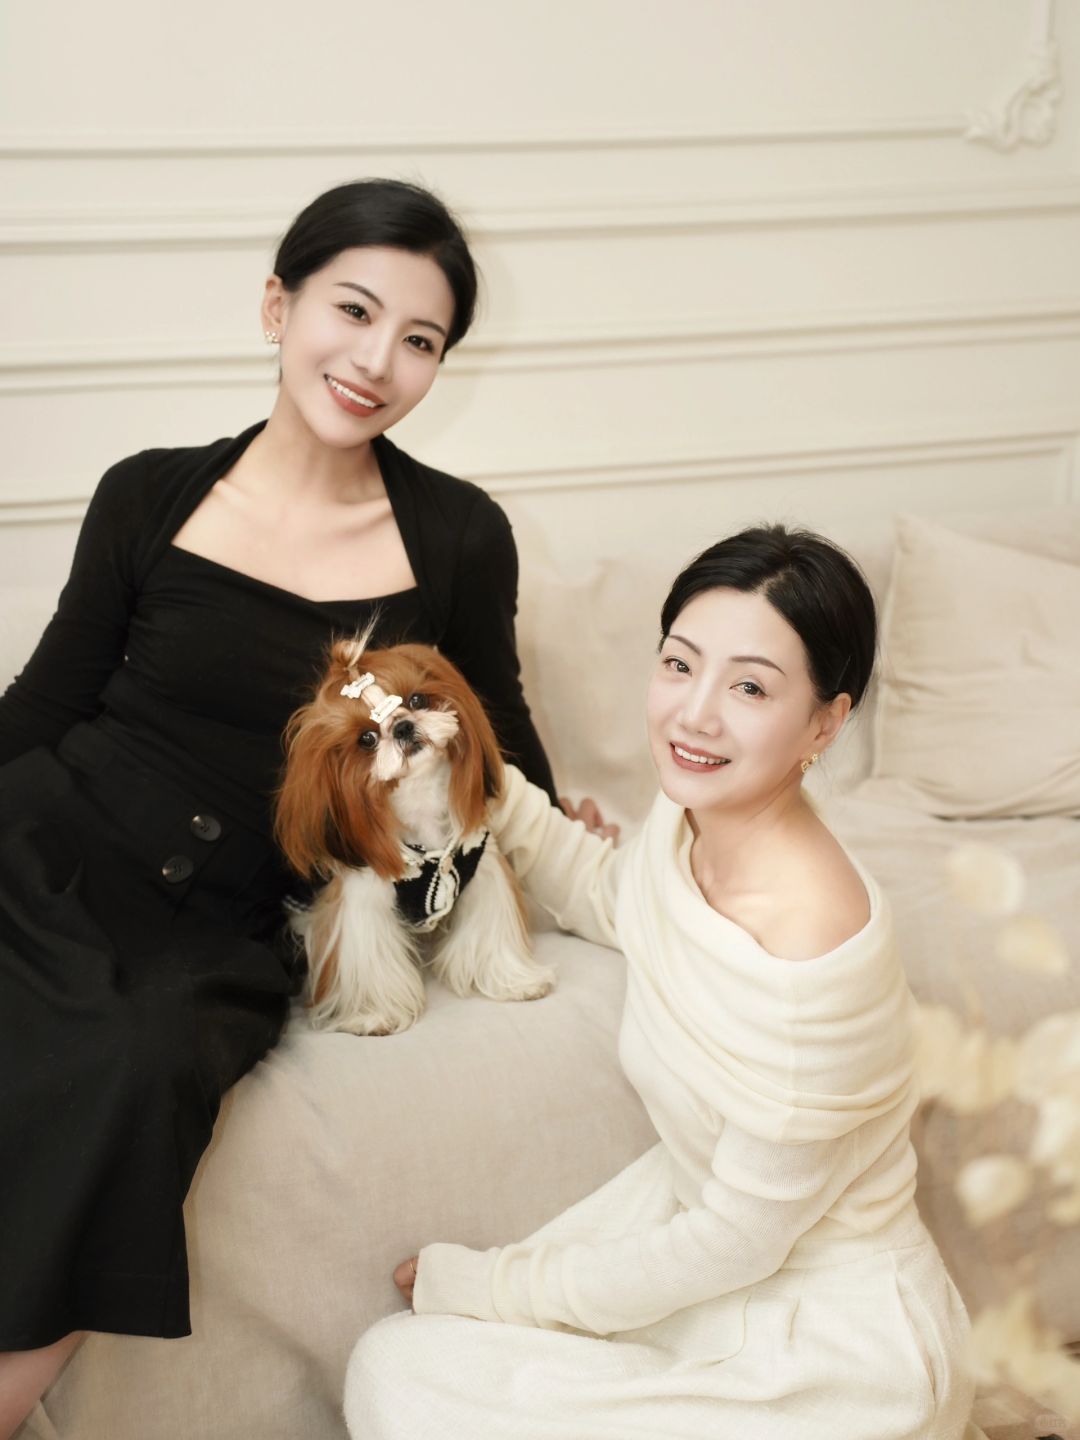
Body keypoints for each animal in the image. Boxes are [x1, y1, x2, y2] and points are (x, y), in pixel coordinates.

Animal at [275, 635, 555, 1035]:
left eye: (417, 700)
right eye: (367, 738)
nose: (404, 727)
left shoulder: (481, 869)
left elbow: (489, 928)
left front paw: (516, 983)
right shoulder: (362, 899)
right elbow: (369, 957)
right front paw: (375, 1015)